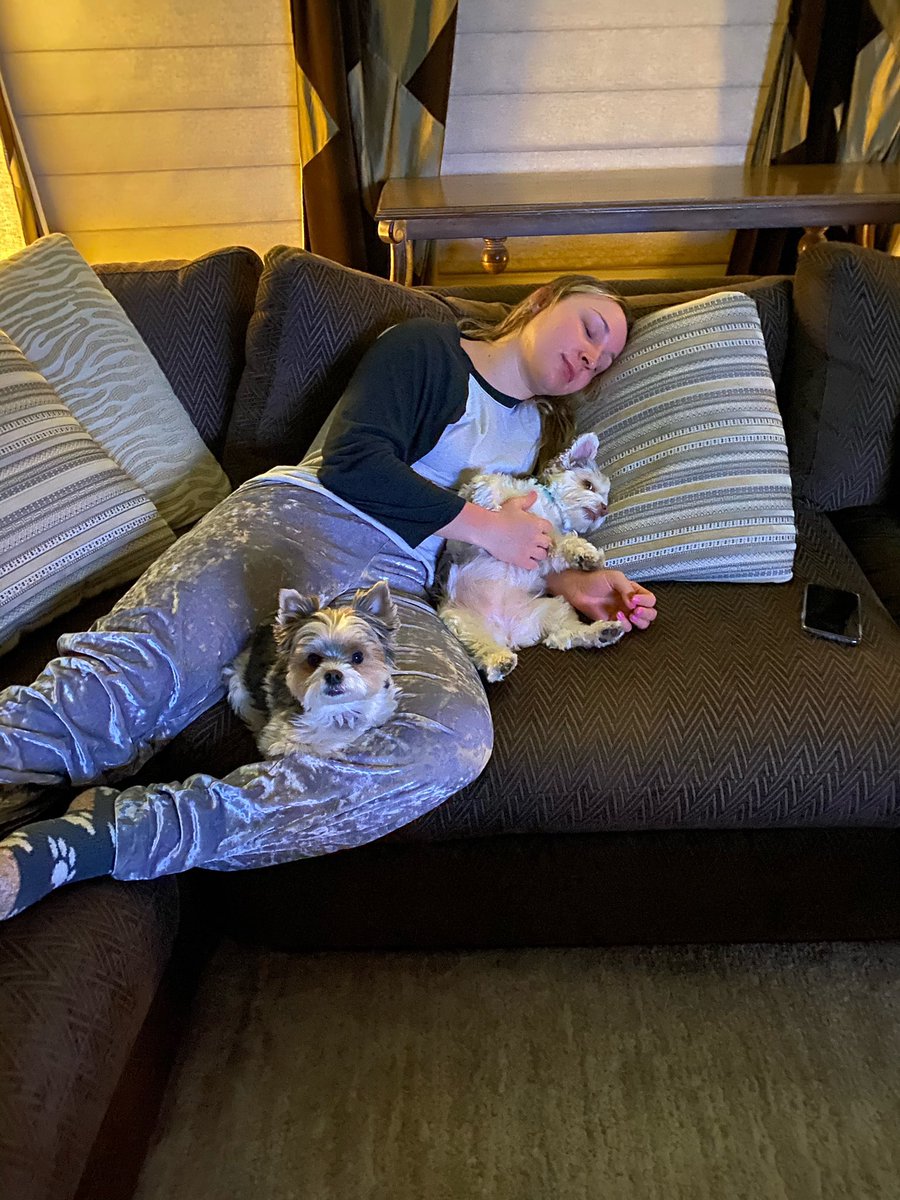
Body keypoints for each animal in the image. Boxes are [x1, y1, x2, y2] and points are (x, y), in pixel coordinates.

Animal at [224, 580, 401, 758]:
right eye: (313, 659)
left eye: (358, 656)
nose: (333, 675)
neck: (339, 708)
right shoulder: (277, 741)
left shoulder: (382, 707)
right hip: (238, 687)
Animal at [438, 432, 623, 681]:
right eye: (588, 485)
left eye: (606, 497)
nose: (604, 508)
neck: (551, 508)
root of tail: (508, 634)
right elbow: (487, 483)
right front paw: (490, 505)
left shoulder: (545, 550)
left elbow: (563, 546)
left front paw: (586, 556)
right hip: (461, 620)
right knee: (483, 646)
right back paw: (498, 660)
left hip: (554, 610)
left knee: (565, 634)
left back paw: (602, 631)